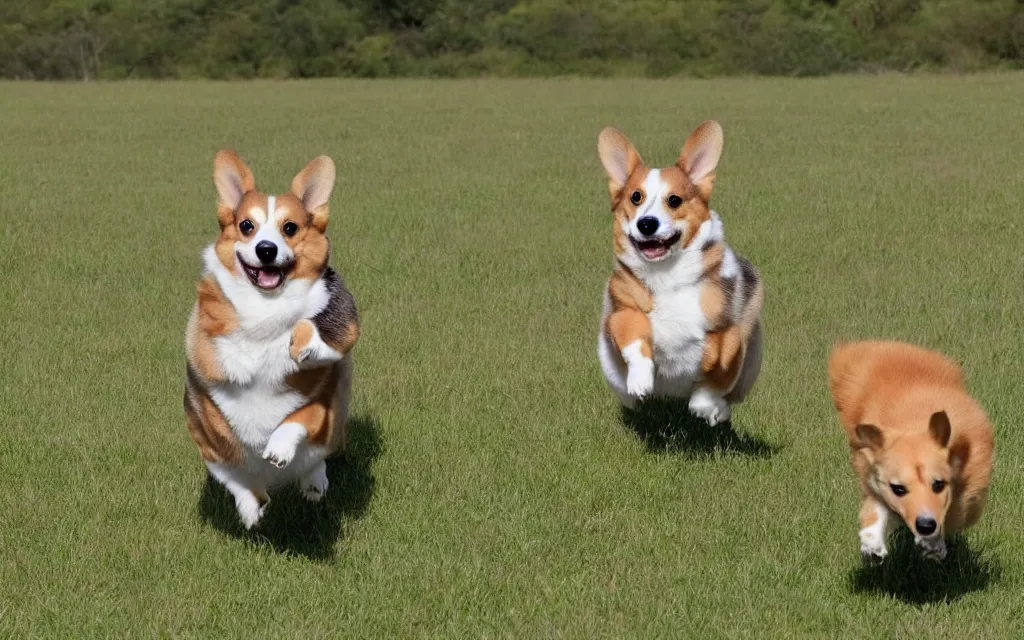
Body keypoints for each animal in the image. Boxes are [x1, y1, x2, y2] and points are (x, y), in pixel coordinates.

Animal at [185, 150, 360, 528]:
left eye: (289, 228)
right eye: (246, 226)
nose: (266, 249)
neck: (265, 305)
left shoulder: (325, 393)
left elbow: (301, 415)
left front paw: (278, 448)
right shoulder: (204, 418)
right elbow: (233, 470)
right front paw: (251, 508)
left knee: (315, 461)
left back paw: (313, 483)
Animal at [598, 122, 761, 423]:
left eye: (674, 200)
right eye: (635, 197)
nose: (646, 223)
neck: (666, 274)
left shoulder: (731, 332)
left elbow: (717, 362)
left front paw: (706, 405)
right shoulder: (622, 312)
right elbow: (635, 334)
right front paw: (640, 381)